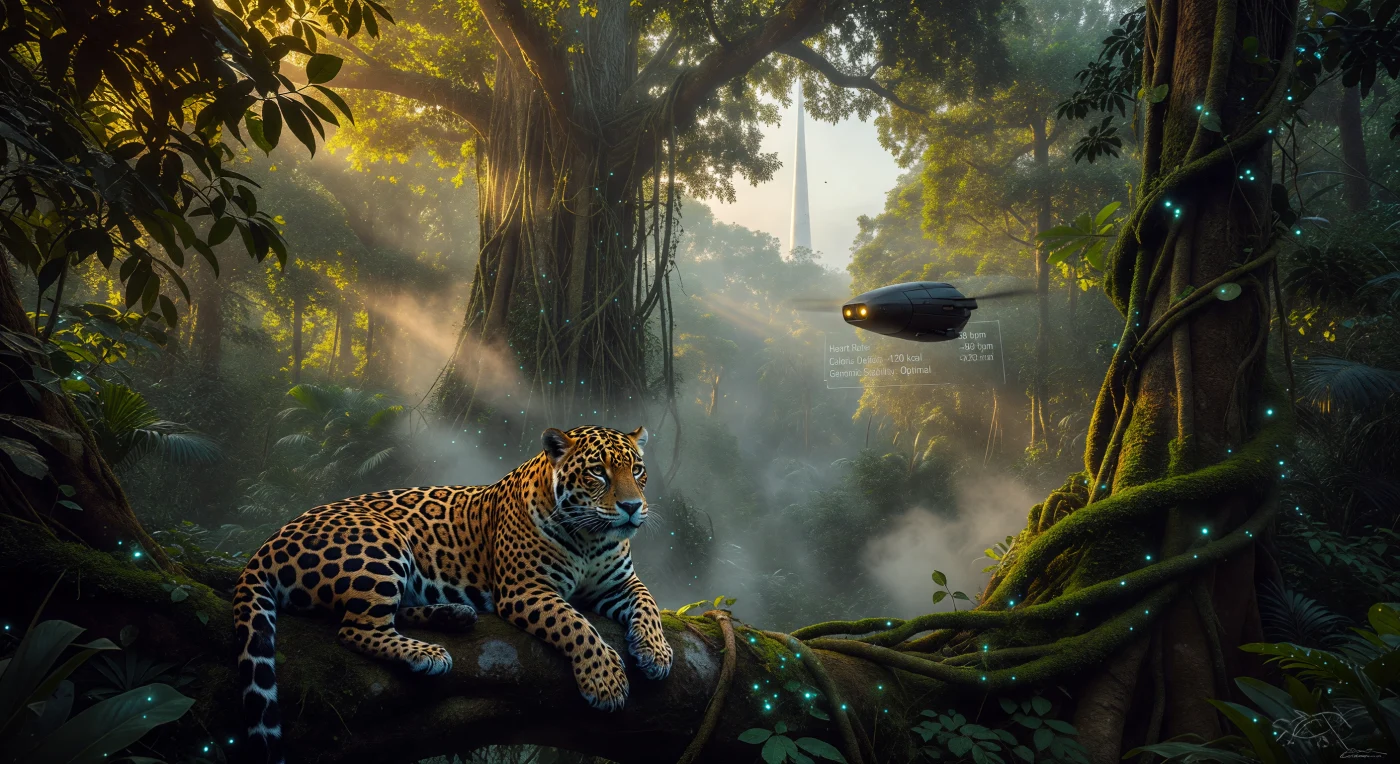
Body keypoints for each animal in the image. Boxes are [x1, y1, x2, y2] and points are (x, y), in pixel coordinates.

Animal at [232, 425, 672, 764]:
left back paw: (453, 614)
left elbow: (648, 602)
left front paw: (655, 652)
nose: (632, 507)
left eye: (638, 470)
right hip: (381, 540)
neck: (590, 539)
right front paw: (605, 680)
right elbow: (575, 624)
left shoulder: (619, 584)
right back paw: (426, 653)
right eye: (597, 472)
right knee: (356, 628)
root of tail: (266, 544)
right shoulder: (525, 589)